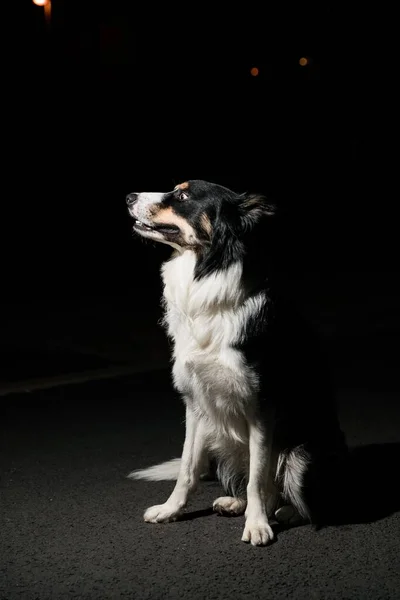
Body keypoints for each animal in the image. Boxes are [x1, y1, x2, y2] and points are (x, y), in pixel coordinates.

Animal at [126, 178, 346, 544]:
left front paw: (257, 525)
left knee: (301, 500)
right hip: (223, 442)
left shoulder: (262, 406)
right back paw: (234, 503)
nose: (129, 196)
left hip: (303, 453)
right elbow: (187, 468)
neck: (206, 270)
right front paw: (171, 510)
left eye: (183, 195)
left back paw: (283, 513)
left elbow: (259, 476)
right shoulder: (195, 403)